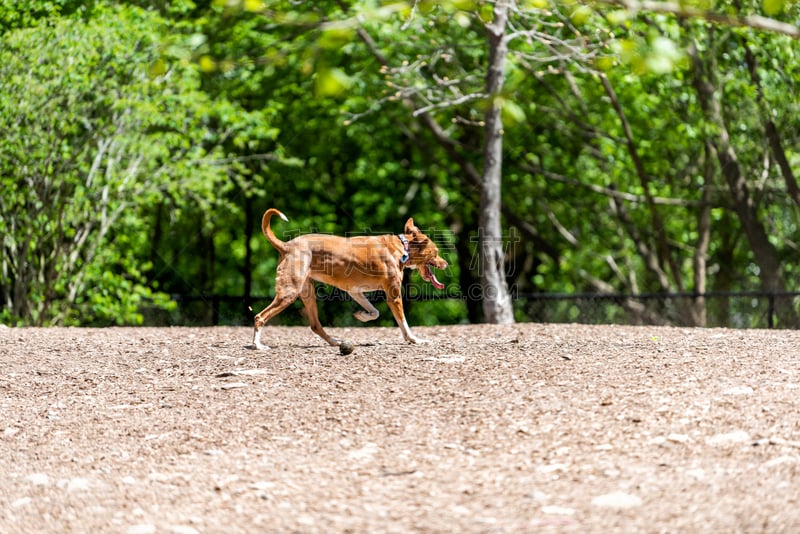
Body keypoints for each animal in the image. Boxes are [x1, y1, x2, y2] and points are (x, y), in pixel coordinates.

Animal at [253, 209, 446, 352]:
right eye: (436, 252)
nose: (445, 263)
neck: (402, 248)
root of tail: (286, 245)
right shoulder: (393, 295)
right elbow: (403, 323)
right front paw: (415, 340)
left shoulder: (355, 291)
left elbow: (375, 312)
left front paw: (361, 315)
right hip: (289, 293)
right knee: (260, 317)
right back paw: (258, 345)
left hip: (307, 293)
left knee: (315, 325)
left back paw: (336, 342)